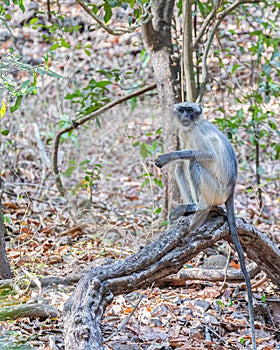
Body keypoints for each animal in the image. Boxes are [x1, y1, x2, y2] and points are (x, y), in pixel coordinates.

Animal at [155, 101, 256, 350]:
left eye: (190, 110)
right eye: (182, 109)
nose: (186, 115)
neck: (192, 126)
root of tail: (230, 191)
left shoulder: (197, 133)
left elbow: (205, 154)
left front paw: (168, 156)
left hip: (215, 189)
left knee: (193, 163)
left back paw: (200, 210)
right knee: (183, 166)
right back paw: (191, 208)